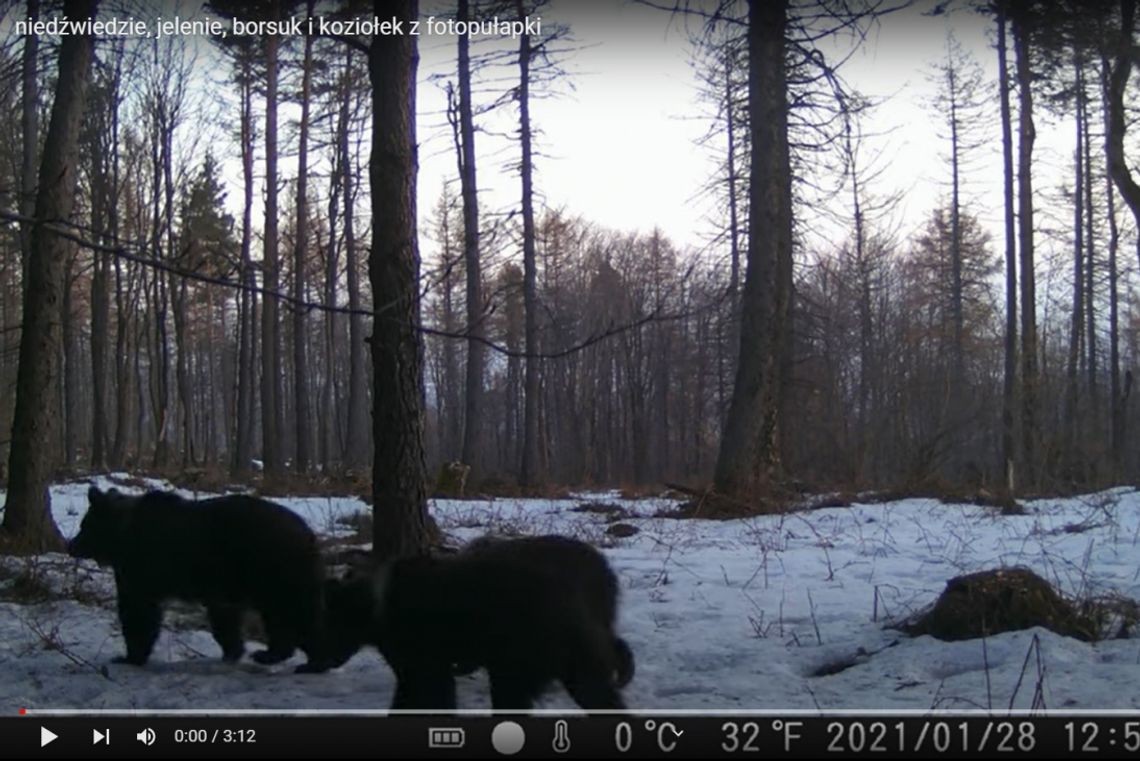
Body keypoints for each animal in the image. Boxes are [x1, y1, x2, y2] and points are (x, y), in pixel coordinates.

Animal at [68, 487, 330, 669]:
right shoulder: (221, 585)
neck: (122, 538)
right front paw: (232, 650)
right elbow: (225, 617)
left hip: (274, 569)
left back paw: (297, 658)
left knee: (294, 612)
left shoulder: (140, 570)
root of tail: (309, 534)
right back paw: (288, 656)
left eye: (84, 524)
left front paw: (129, 656)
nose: (71, 546)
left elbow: (138, 612)